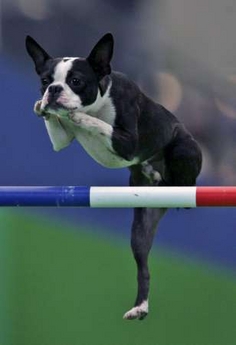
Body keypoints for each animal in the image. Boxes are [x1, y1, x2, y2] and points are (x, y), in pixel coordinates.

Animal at [26, 33, 203, 320]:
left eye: (76, 81)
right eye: (44, 80)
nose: (53, 90)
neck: (97, 100)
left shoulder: (128, 142)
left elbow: (96, 122)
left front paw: (78, 115)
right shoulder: (61, 140)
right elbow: (60, 127)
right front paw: (42, 106)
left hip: (184, 151)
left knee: (184, 185)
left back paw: (160, 176)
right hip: (141, 228)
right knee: (143, 267)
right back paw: (140, 306)